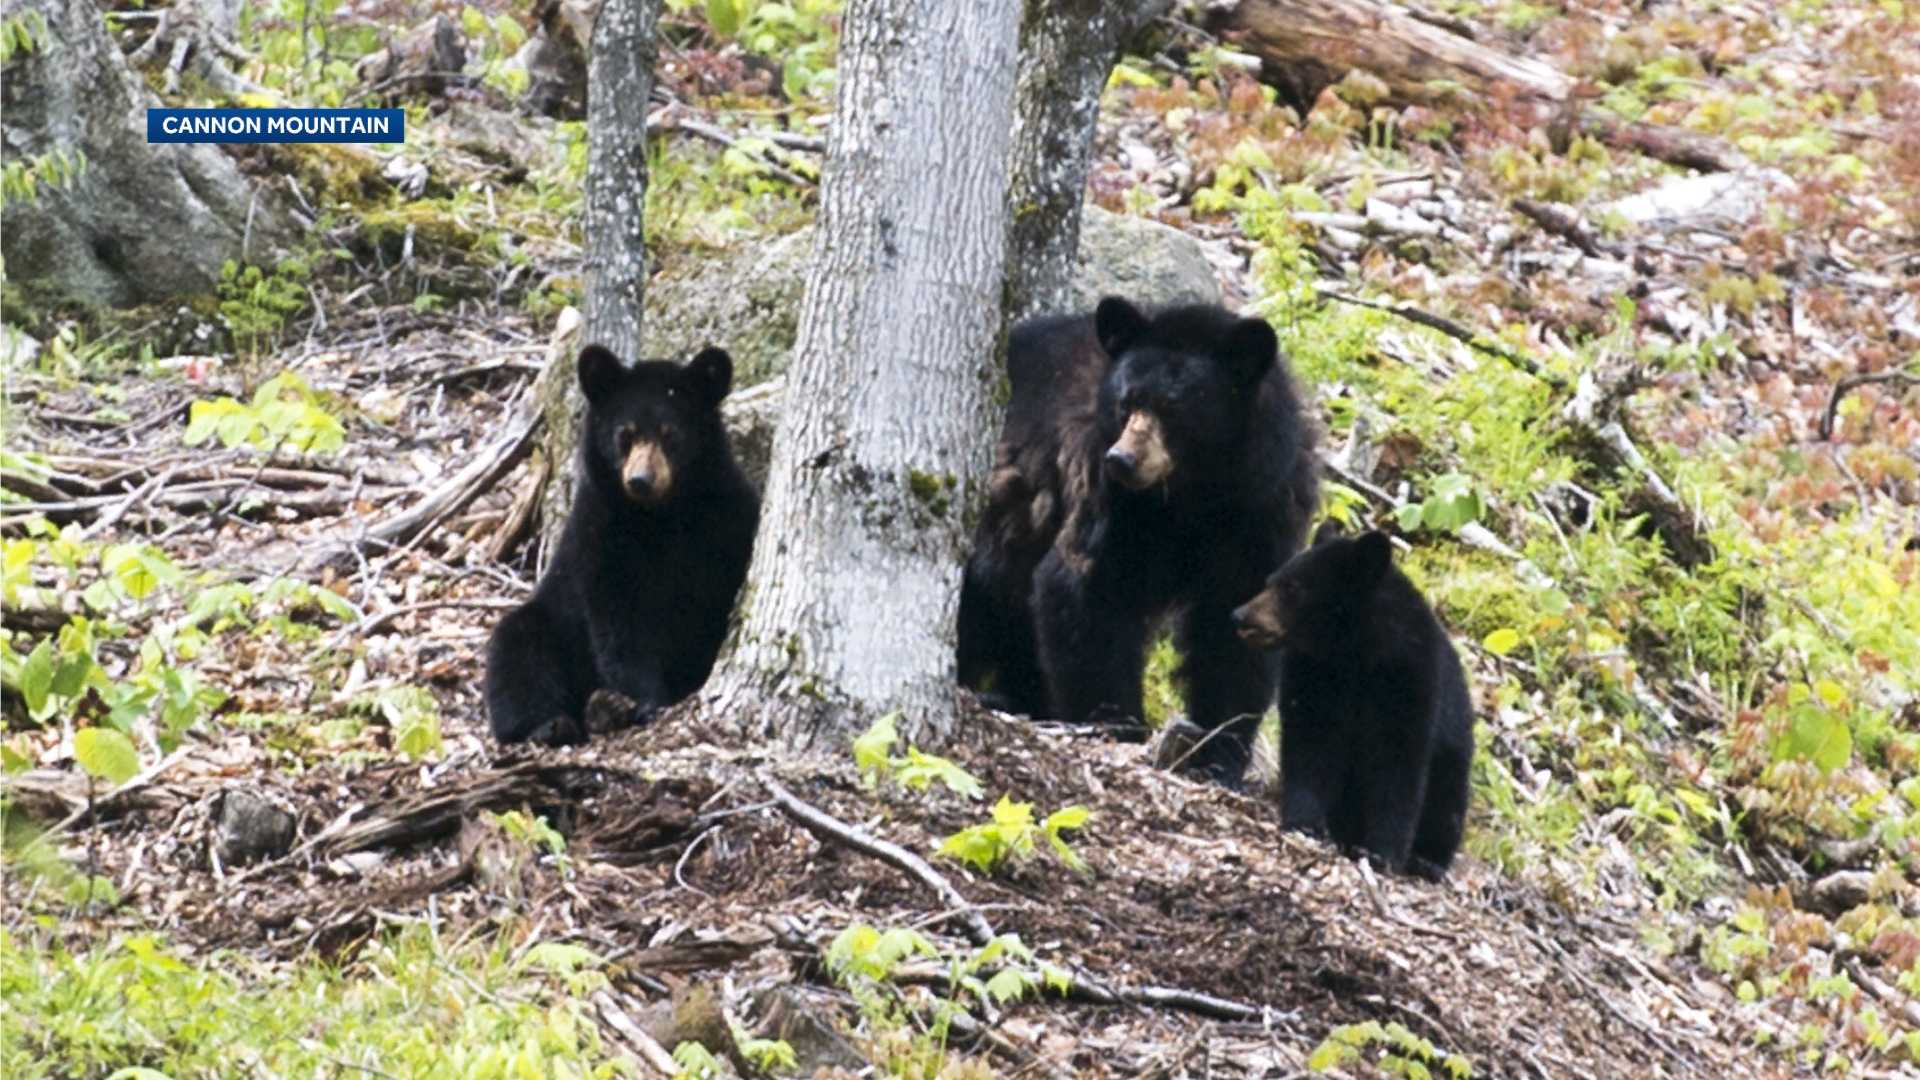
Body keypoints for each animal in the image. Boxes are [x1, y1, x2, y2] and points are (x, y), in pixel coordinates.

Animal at [487, 342, 756, 737]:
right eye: (624, 434)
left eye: (670, 433)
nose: (641, 480)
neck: (662, 515)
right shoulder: (601, 536)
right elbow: (621, 625)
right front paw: (648, 701)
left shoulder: (728, 521)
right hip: (551, 623)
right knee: (516, 650)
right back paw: (553, 724)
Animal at [960, 294, 1320, 780]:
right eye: (1126, 402)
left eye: (1173, 408)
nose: (1123, 459)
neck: (1192, 498)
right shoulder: (1103, 493)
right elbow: (1086, 586)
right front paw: (1116, 725)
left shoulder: (1263, 509)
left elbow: (1234, 620)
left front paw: (1218, 751)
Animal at [1228, 526, 1466, 880]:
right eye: (1272, 580)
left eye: (1293, 587)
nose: (1239, 616)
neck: (1351, 651)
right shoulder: (1313, 675)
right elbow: (1310, 746)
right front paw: (1302, 824)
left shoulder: (1409, 679)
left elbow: (1398, 768)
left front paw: (1382, 853)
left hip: (1453, 761)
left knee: (1446, 806)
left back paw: (1427, 861)